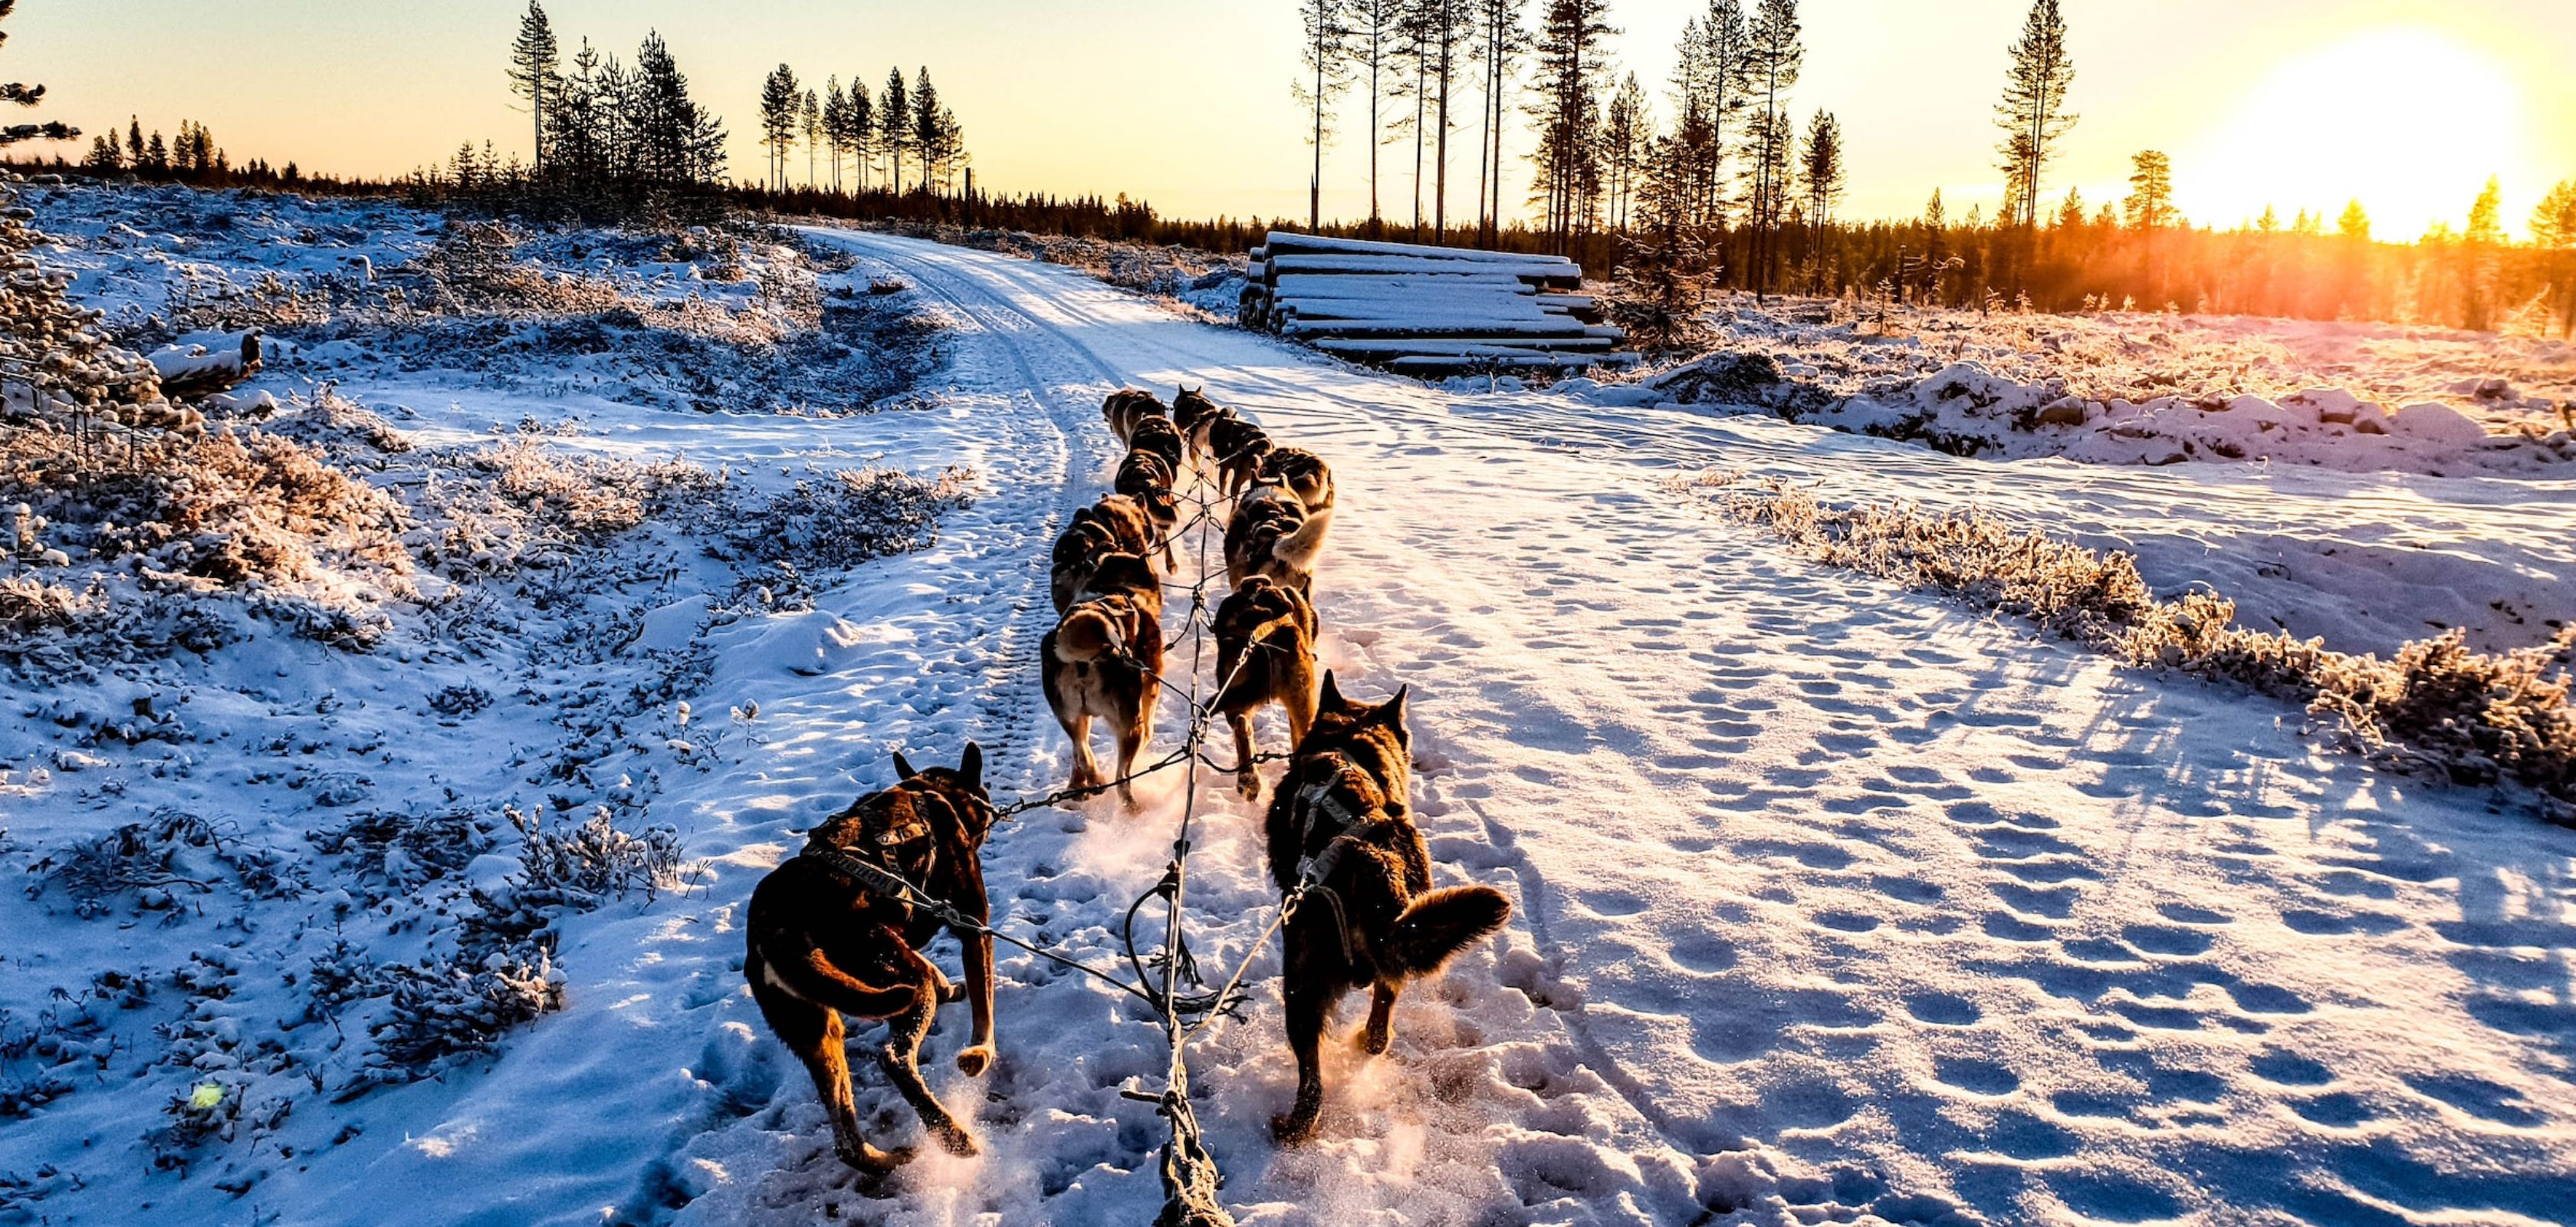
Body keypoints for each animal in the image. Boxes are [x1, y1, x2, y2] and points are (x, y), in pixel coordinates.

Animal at [752, 747, 999, 1170]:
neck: (931, 791)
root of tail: (772, 925)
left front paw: (950, 988)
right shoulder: (973, 924)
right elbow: (984, 1005)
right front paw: (981, 1051)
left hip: (821, 1032)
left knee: (846, 1140)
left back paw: (886, 1159)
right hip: (898, 977)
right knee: (894, 1058)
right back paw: (952, 1135)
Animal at [1262, 675, 1504, 1144]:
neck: (1350, 743)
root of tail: (1371, 862)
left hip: (1300, 985)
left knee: (1311, 1080)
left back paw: (1293, 1128)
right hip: (1398, 938)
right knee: (1383, 1009)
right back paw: (1372, 1040)